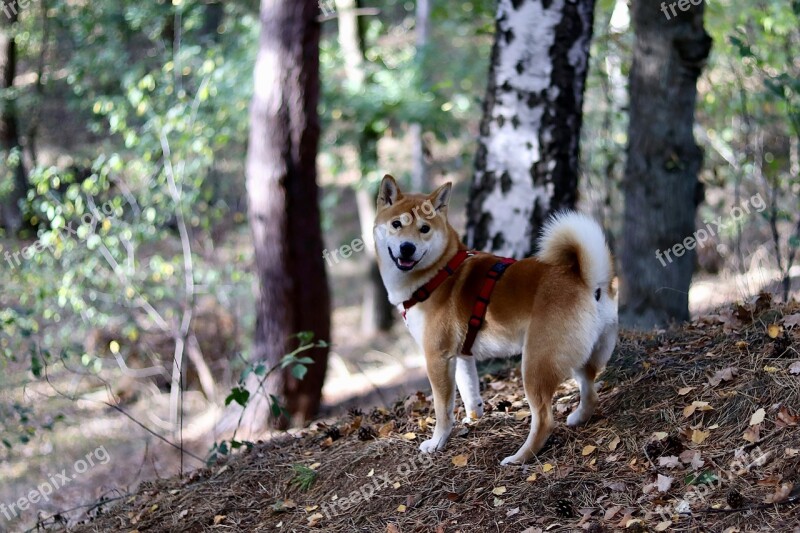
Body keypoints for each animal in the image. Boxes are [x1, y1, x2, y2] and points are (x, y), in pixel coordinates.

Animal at [376, 176, 620, 466]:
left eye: (424, 228)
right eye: (396, 224)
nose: (407, 248)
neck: (438, 273)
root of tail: (588, 281)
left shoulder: (437, 357)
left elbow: (442, 408)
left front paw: (437, 442)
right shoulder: (460, 355)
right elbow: (469, 393)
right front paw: (473, 421)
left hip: (535, 364)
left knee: (544, 420)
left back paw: (519, 457)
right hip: (582, 357)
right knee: (590, 391)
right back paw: (578, 418)